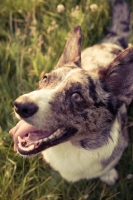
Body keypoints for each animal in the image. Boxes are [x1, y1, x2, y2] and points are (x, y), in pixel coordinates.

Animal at [9, 0, 132, 185]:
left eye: (76, 96)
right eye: (45, 78)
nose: (19, 105)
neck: (72, 148)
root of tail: (112, 41)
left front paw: (108, 175)